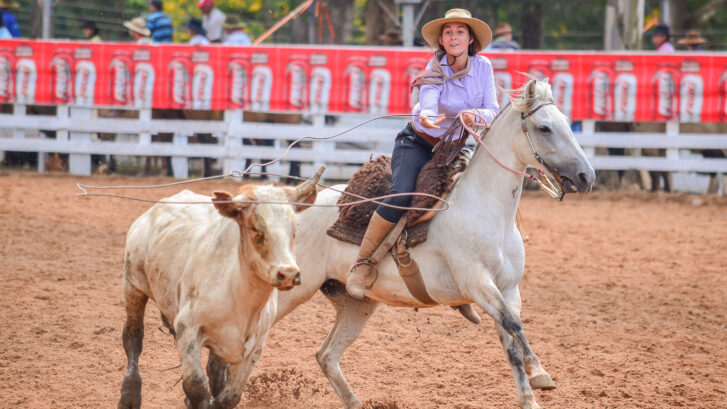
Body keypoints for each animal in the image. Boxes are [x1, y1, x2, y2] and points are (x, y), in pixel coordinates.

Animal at [118, 167, 322, 408]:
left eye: (294, 229)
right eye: (256, 228)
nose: (288, 273)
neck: (239, 295)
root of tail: (152, 211)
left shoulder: (254, 346)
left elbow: (229, 395)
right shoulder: (187, 328)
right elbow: (196, 386)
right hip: (133, 285)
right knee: (133, 338)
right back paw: (129, 395)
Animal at [272, 80, 596, 408]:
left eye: (567, 122)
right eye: (544, 128)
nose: (587, 175)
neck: (484, 211)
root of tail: (297, 204)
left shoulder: (507, 289)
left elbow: (511, 340)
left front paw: (530, 395)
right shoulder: (476, 281)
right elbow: (514, 325)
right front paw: (539, 369)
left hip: (356, 305)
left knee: (326, 355)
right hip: (294, 291)